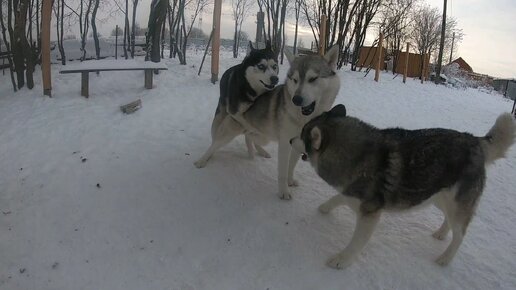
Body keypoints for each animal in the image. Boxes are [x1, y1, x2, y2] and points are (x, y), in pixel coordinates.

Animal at [196, 46, 340, 201]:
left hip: (263, 136)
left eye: (312, 79)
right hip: (229, 133)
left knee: (249, 137)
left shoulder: (299, 144)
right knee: (214, 145)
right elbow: (282, 171)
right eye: (295, 80)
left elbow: (291, 166)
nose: (296, 99)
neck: (304, 118)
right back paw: (202, 160)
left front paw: (290, 180)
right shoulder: (285, 144)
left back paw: (258, 152)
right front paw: (283, 192)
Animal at [292, 105, 512, 270]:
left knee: (460, 235)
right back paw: (441, 234)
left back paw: (445, 258)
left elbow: (356, 243)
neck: (358, 156)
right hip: (438, 197)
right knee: (448, 220)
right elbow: (338, 197)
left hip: (456, 204)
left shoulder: (370, 214)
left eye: (302, 135)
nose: (289, 140)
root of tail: (474, 140)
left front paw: (342, 260)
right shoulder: (353, 194)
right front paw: (325, 207)